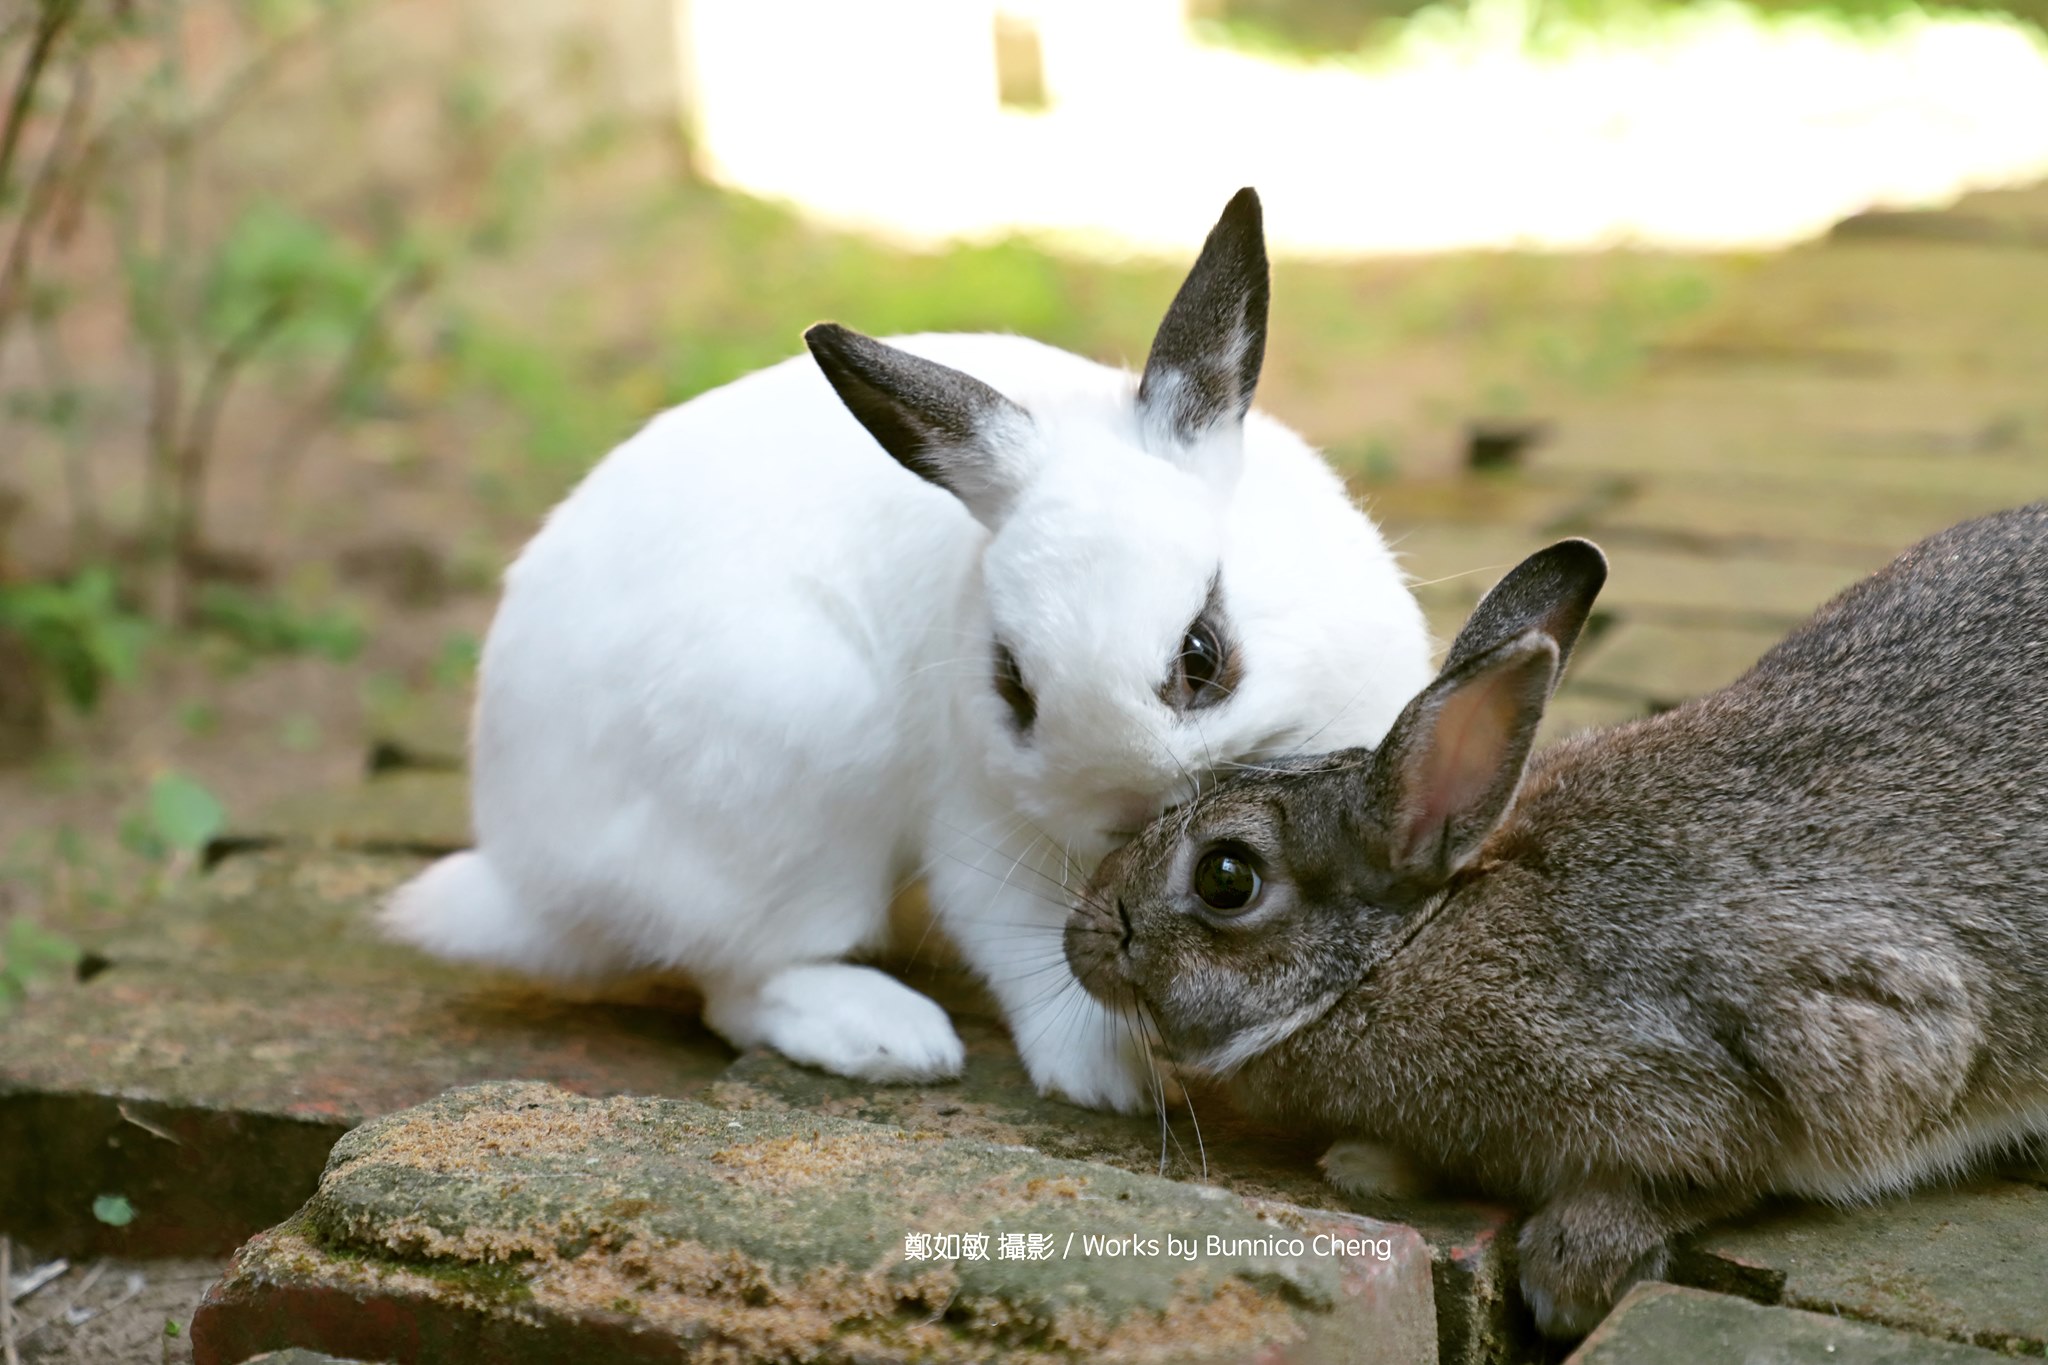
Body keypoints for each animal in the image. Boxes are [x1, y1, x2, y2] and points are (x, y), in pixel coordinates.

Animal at [380, 188, 1435, 1115]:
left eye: (1203, 655)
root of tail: (524, 878)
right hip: (786, 779)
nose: (1125, 811)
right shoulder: (979, 823)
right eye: (1012, 684)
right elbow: (1022, 943)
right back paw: (885, 1034)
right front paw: (1111, 1078)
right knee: (740, 977)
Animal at [1066, 504, 2048, 1334]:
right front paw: (1370, 1163)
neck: (1408, 944)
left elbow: (1715, 1172)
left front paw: (1566, 1276)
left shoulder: (1802, 1054)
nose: (1079, 940)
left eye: (1226, 877)